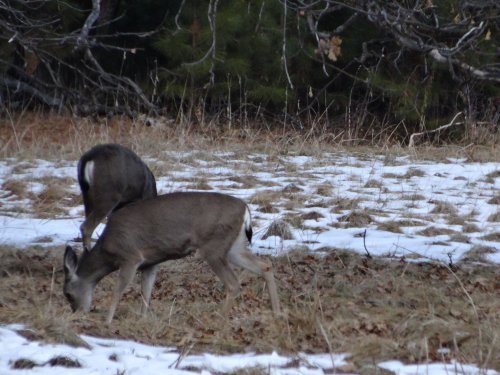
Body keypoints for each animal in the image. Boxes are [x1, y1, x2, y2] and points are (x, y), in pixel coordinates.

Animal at [63, 192, 282, 324]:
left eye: (68, 294)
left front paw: (107, 321)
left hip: (214, 247)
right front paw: (143, 318)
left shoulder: (130, 257)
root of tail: (245, 209)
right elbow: (146, 292)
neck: (107, 250)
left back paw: (217, 319)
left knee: (234, 284)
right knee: (265, 266)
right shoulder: (149, 263)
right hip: (233, 247)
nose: (76, 313)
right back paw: (276, 311)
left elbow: (119, 290)